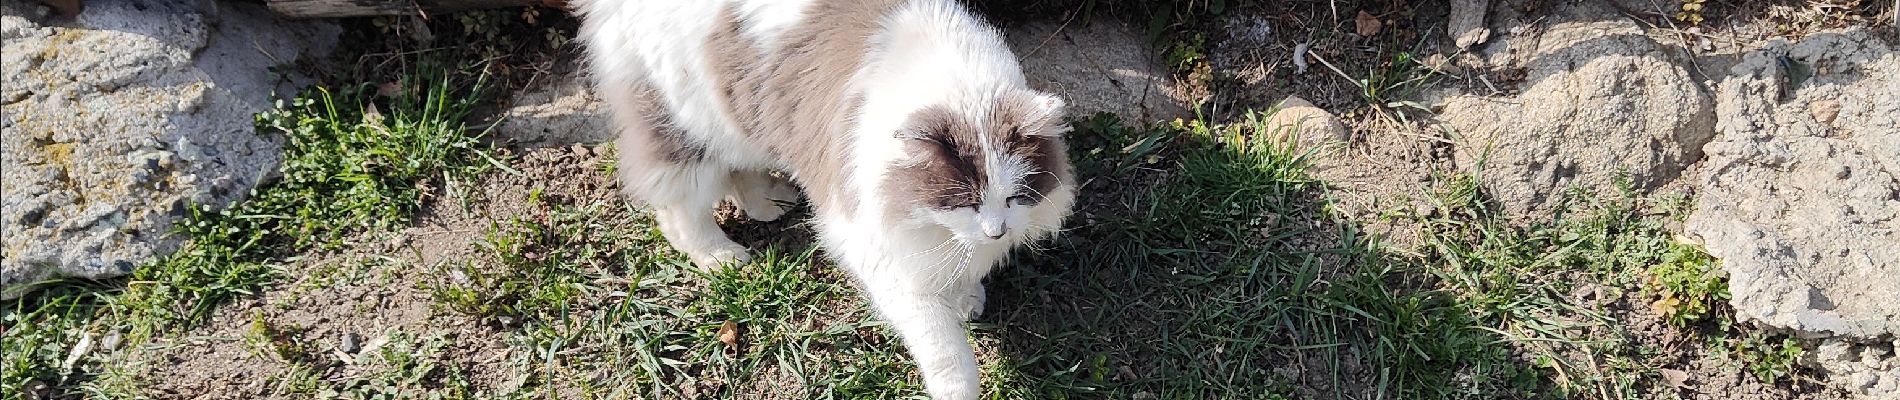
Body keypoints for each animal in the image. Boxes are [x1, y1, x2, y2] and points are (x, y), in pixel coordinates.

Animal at [570, 1, 1079, 398]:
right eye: (966, 202)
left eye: (1014, 198)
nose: (998, 230)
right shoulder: (880, 250)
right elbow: (942, 345)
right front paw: (957, 384)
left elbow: (957, 274)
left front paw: (967, 298)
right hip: (686, 129)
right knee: (679, 211)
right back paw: (723, 258)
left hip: (743, 118)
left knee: (740, 171)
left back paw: (771, 203)